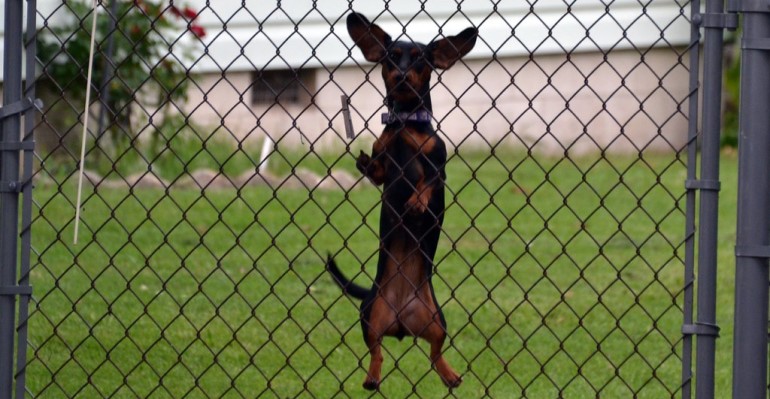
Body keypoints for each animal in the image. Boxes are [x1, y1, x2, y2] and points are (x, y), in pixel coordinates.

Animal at [324, 10, 474, 390]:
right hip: (369, 316)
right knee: (376, 351)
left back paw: (450, 375)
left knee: (436, 353)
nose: (402, 74)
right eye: (393, 57)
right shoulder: (385, 161)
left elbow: (426, 180)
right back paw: (372, 378)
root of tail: (403, 322)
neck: (405, 122)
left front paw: (418, 202)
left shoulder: (439, 167)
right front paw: (367, 163)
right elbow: (378, 167)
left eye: (420, 59)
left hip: (438, 321)